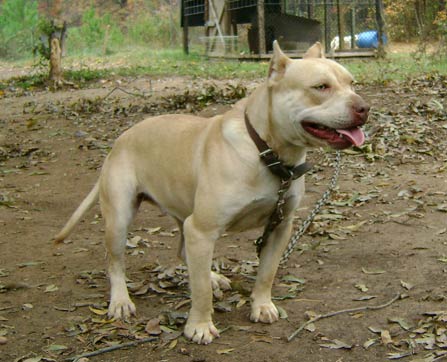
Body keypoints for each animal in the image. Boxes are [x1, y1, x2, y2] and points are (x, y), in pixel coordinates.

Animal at [54, 42, 370, 346]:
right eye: (321, 87)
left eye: (352, 83)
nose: (364, 107)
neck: (266, 151)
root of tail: (121, 139)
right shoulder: (203, 230)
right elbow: (201, 291)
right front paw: (199, 326)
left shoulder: (280, 226)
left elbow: (267, 272)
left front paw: (261, 305)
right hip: (121, 220)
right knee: (115, 262)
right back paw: (120, 300)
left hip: (184, 215)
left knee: (183, 252)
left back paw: (212, 275)